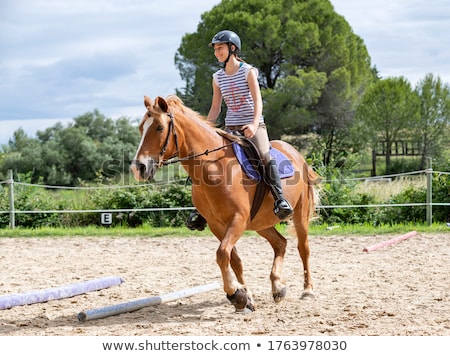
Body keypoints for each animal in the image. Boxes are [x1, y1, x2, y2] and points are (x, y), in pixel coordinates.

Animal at [132, 94, 322, 312]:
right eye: (141, 128)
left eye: (159, 127)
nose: (139, 167)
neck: (214, 168)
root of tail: (296, 153)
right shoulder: (217, 224)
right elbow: (233, 259)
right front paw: (245, 297)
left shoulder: (237, 219)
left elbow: (222, 254)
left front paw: (235, 294)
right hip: (260, 222)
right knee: (280, 243)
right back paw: (278, 287)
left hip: (299, 214)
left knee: (303, 248)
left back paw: (307, 291)